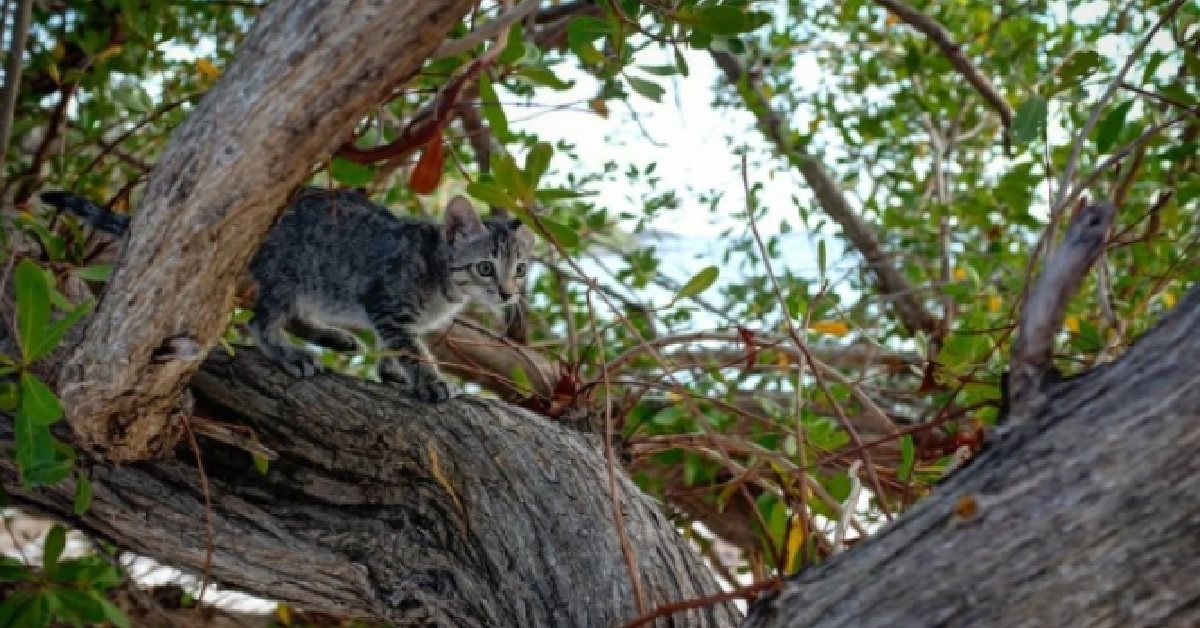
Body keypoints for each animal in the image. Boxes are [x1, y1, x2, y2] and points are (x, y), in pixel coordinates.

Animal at [39, 188, 535, 403]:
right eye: (485, 267)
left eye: (520, 270)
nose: (508, 293)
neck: (439, 274)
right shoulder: (386, 301)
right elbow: (409, 345)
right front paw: (429, 380)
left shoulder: (387, 313)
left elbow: (396, 344)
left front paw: (392, 371)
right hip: (287, 273)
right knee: (259, 323)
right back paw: (292, 354)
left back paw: (334, 337)